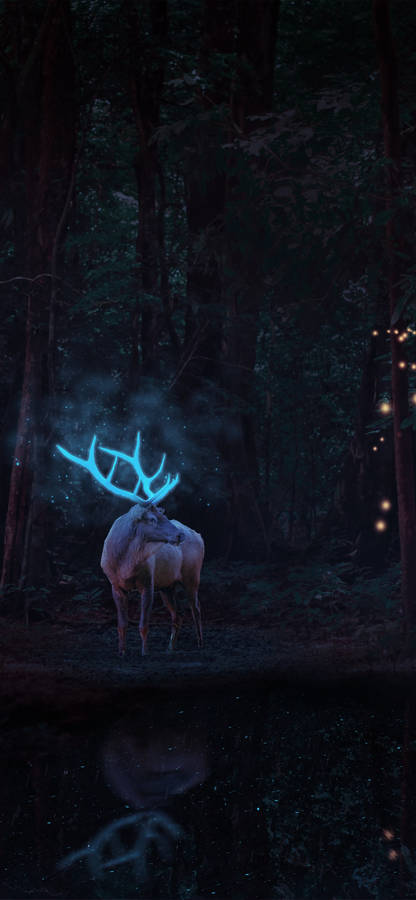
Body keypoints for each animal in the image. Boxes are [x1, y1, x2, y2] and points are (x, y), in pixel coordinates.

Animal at [56, 432, 204, 656]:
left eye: (164, 514)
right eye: (152, 519)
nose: (180, 535)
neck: (124, 563)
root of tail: (199, 535)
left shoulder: (148, 583)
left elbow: (143, 624)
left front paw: (144, 653)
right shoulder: (114, 584)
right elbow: (122, 624)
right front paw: (122, 652)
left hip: (191, 575)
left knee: (196, 609)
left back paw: (200, 644)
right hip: (167, 586)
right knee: (178, 615)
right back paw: (170, 648)